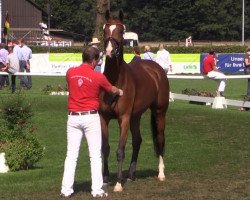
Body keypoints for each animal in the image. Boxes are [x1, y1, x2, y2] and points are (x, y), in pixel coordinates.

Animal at [98, 10, 169, 192]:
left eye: (121, 31)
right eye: (105, 30)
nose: (109, 51)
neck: (116, 80)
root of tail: (156, 69)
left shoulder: (123, 118)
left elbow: (120, 150)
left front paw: (118, 183)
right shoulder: (104, 118)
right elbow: (106, 148)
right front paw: (105, 179)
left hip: (159, 112)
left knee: (160, 139)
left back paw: (161, 173)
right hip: (135, 117)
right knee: (137, 140)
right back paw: (131, 175)